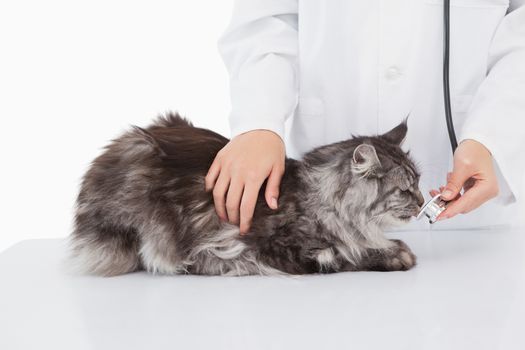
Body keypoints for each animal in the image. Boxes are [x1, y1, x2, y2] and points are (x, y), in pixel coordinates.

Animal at [69, 113, 424, 276]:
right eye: (405, 190)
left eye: (419, 182)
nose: (422, 203)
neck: (320, 197)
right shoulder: (279, 247)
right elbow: (343, 253)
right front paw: (395, 254)